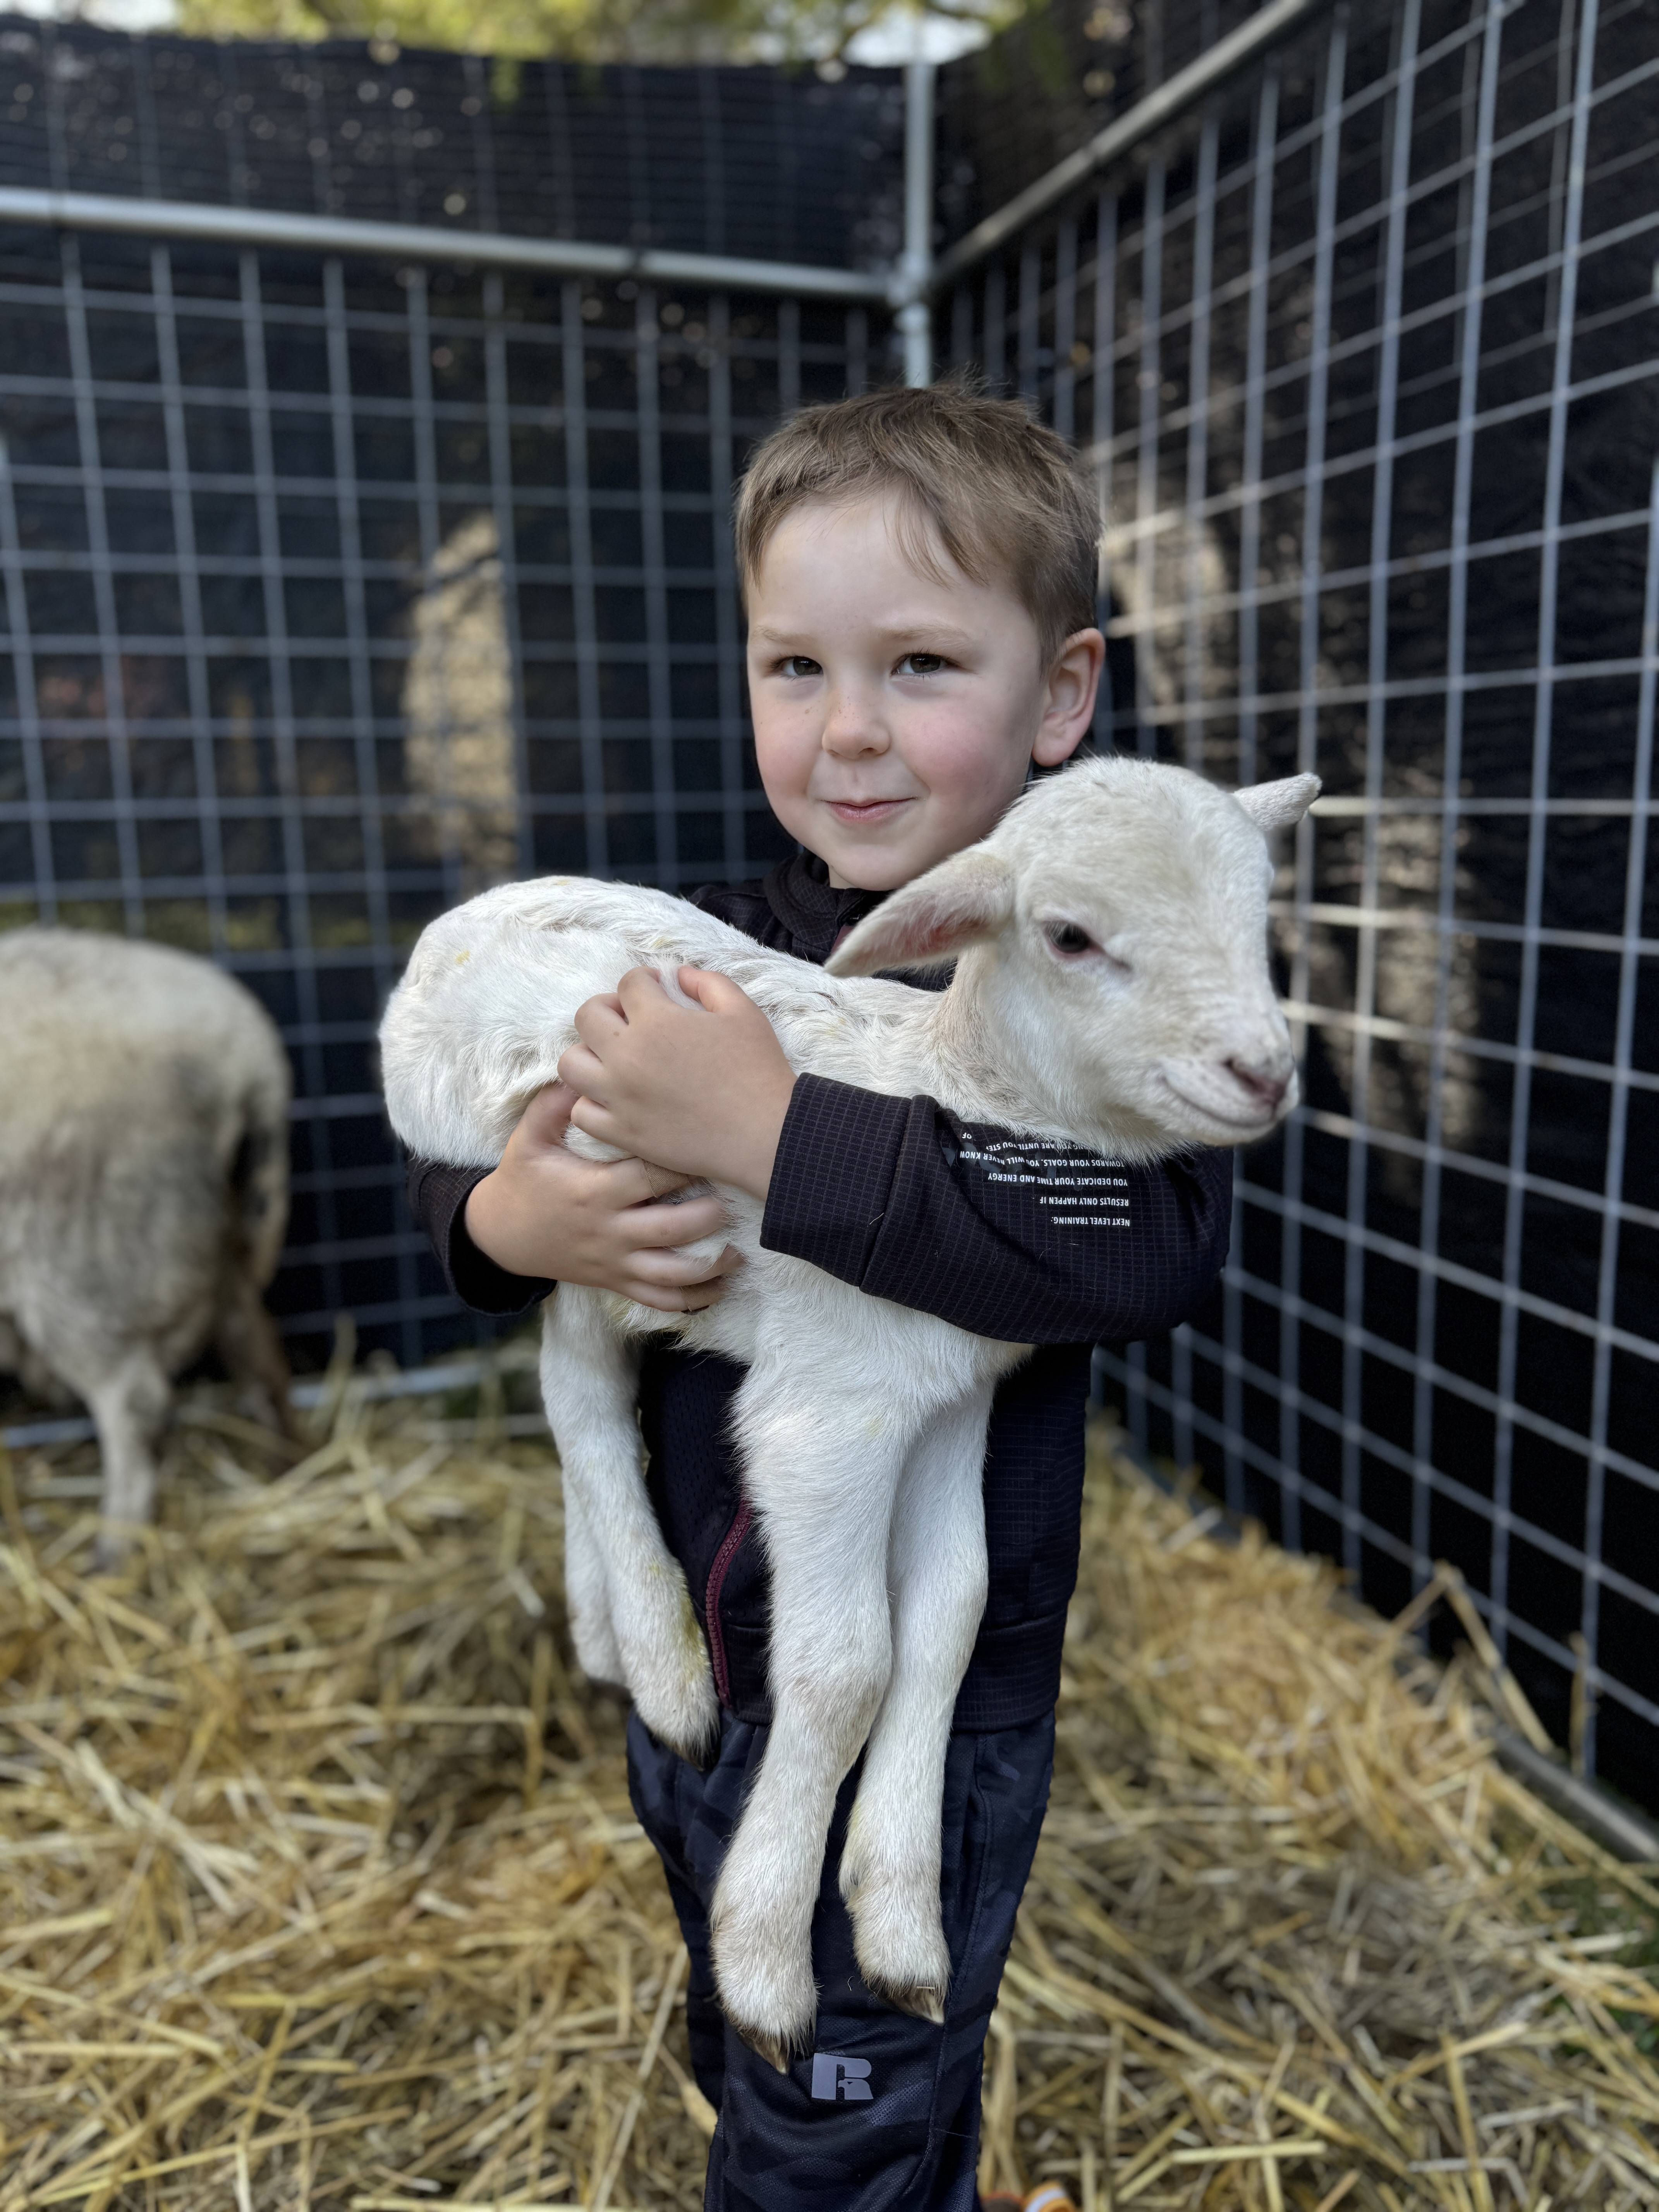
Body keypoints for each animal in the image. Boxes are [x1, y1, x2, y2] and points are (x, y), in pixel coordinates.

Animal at [0, 929, 295, 1563]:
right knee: (253, 1344)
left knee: (135, 1406)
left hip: (86, 1257)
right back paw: (280, 1464)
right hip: (207, 1231)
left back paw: (114, 1547)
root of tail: (251, 1052)